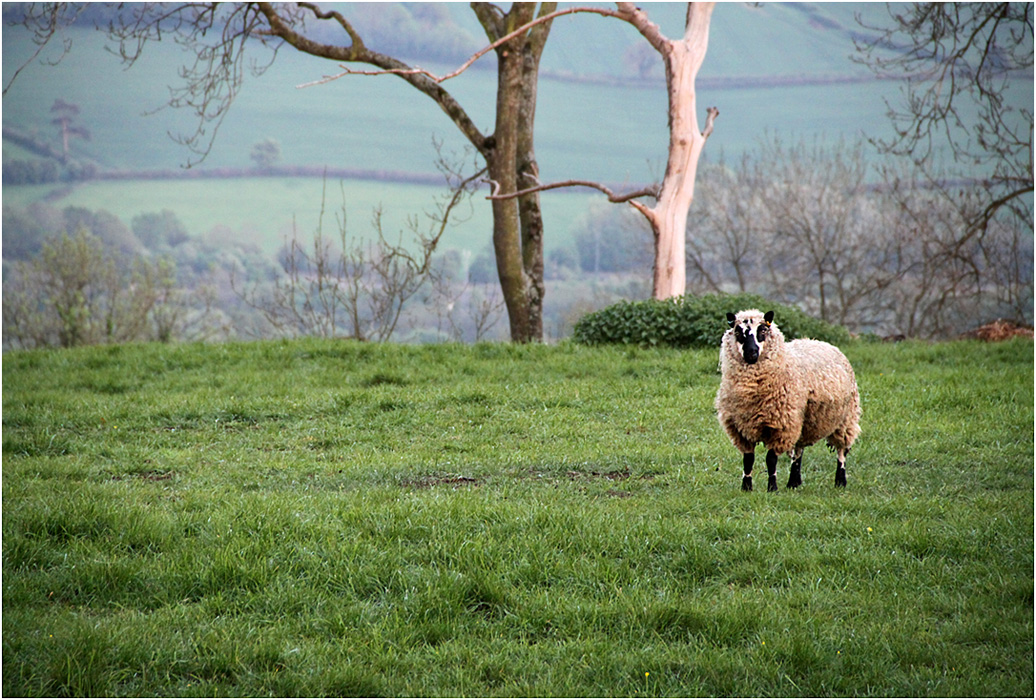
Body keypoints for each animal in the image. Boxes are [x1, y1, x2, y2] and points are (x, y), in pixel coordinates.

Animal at [716, 306, 861, 492]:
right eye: (738, 332)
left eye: (762, 330)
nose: (751, 353)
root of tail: (819, 341)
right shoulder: (740, 428)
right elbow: (748, 459)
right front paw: (746, 487)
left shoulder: (781, 425)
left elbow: (771, 459)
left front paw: (772, 487)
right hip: (802, 420)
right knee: (798, 451)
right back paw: (794, 482)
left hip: (846, 418)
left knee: (842, 450)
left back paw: (840, 481)